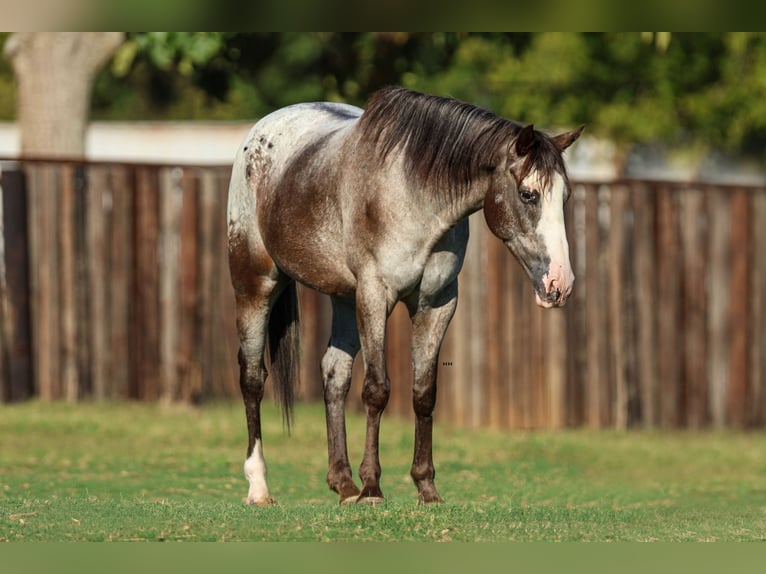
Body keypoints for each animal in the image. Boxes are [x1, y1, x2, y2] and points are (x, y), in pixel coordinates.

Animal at [225, 85, 584, 508]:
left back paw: (343, 484)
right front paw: (372, 488)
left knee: (334, 374)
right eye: (529, 195)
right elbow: (377, 390)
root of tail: (260, 132)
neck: (415, 196)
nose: (560, 283)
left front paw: (426, 488)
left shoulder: (438, 303)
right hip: (255, 285)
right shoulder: (375, 295)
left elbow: (424, 394)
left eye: (565, 197)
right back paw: (259, 486)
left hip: (344, 299)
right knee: (252, 377)